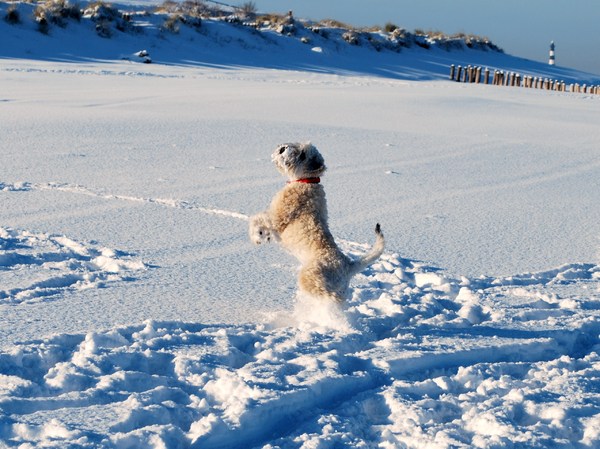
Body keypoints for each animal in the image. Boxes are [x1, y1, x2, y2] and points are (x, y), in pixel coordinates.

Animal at [248, 142, 384, 302]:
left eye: (302, 155)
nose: (282, 148)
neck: (306, 181)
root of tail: (348, 265)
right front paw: (264, 236)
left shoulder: (277, 219)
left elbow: (256, 218)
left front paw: (258, 236)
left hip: (312, 278)